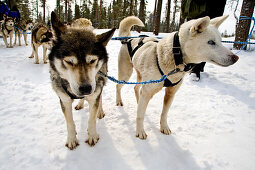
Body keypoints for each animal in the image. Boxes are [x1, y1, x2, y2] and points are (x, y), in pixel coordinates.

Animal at [48, 11, 114, 149]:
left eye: (92, 60)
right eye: (69, 61)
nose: (86, 88)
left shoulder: (95, 93)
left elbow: (92, 119)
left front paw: (92, 135)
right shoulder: (64, 100)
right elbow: (69, 123)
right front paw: (72, 139)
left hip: (101, 81)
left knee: (100, 98)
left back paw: (99, 110)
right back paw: (80, 103)